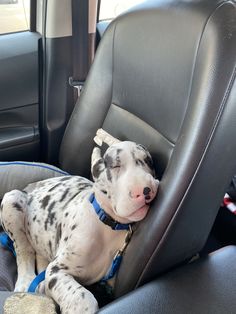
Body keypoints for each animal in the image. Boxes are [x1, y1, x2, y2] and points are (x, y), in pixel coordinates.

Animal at [0, 129, 159, 312]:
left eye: (148, 161)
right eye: (116, 166)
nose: (146, 189)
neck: (108, 226)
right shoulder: (57, 270)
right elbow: (83, 297)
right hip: (12, 199)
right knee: (23, 250)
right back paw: (25, 281)